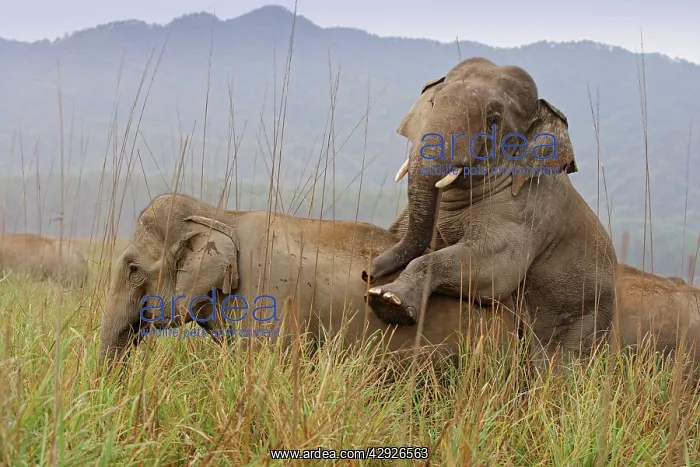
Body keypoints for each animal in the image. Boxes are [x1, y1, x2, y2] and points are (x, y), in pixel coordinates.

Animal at [362, 57, 618, 367]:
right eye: (433, 102)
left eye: (493, 120)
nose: (367, 272)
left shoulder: (526, 214)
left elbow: (496, 269)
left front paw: (388, 302)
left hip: (587, 318)